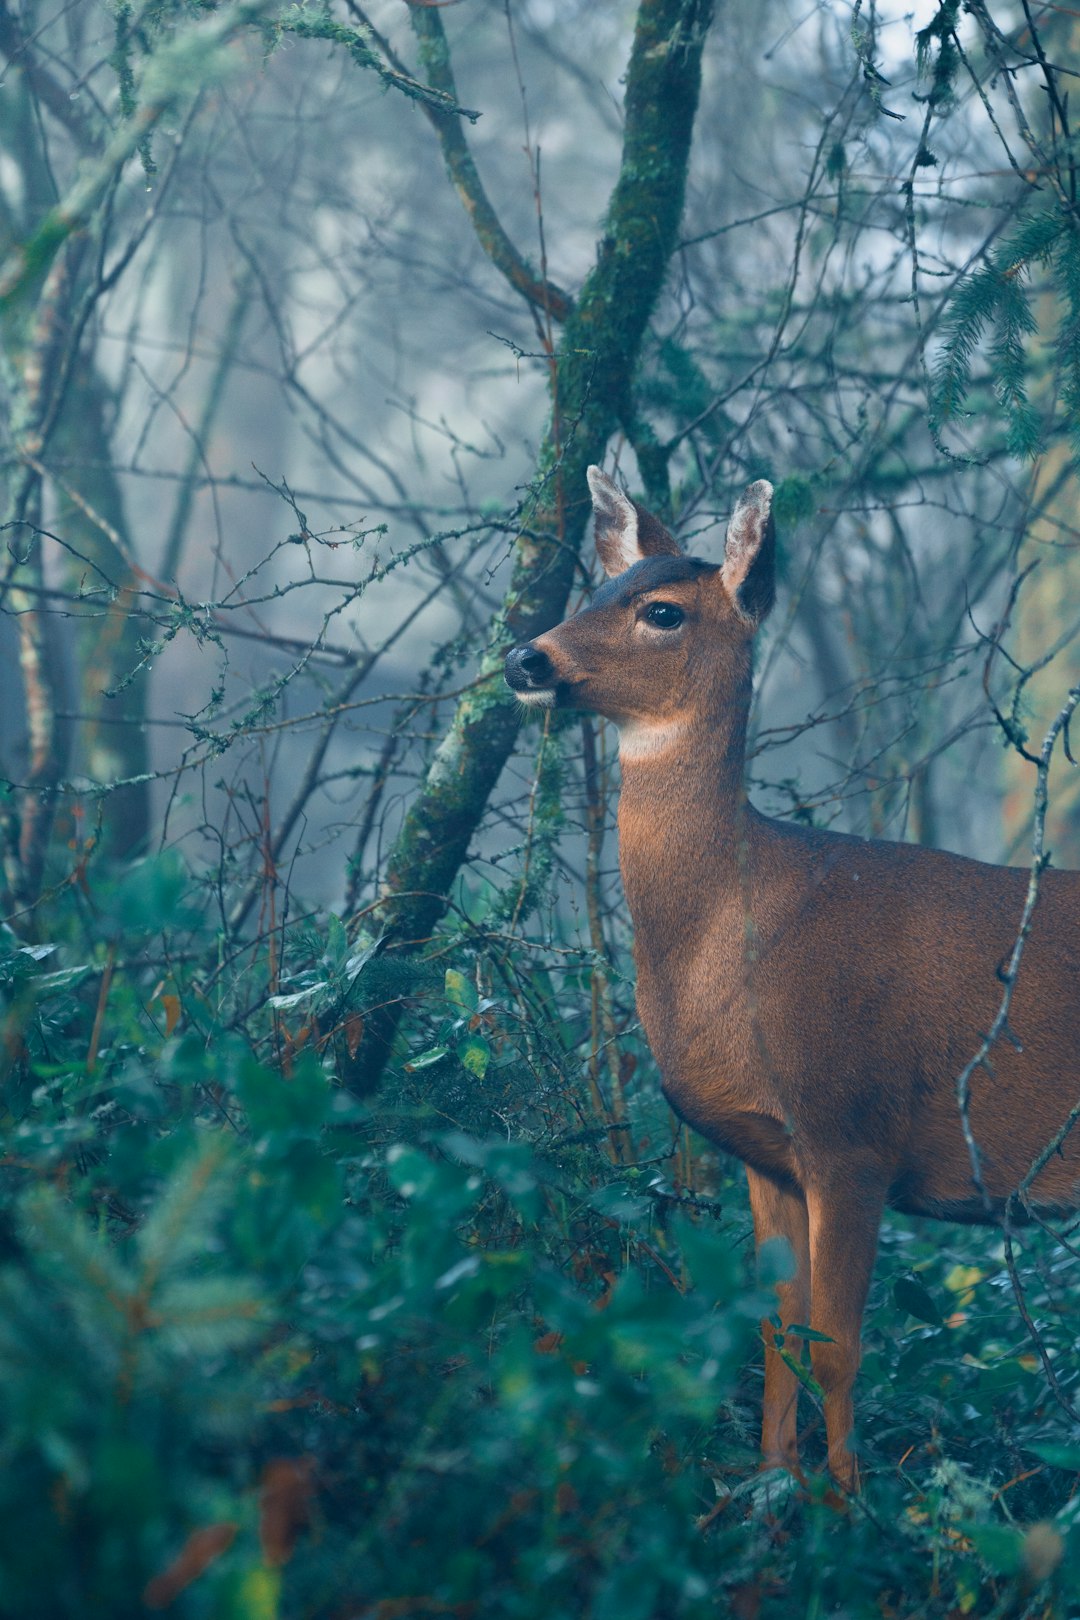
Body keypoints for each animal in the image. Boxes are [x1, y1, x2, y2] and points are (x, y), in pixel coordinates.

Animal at [505, 463, 1080, 1483]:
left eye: (660, 611)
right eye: (600, 586)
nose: (523, 660)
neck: (743, 935)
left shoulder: (853, 1129)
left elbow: (841, 1347)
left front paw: (847, 1507)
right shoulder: (767, 1155)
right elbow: (778, 1336)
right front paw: (772, 1489)